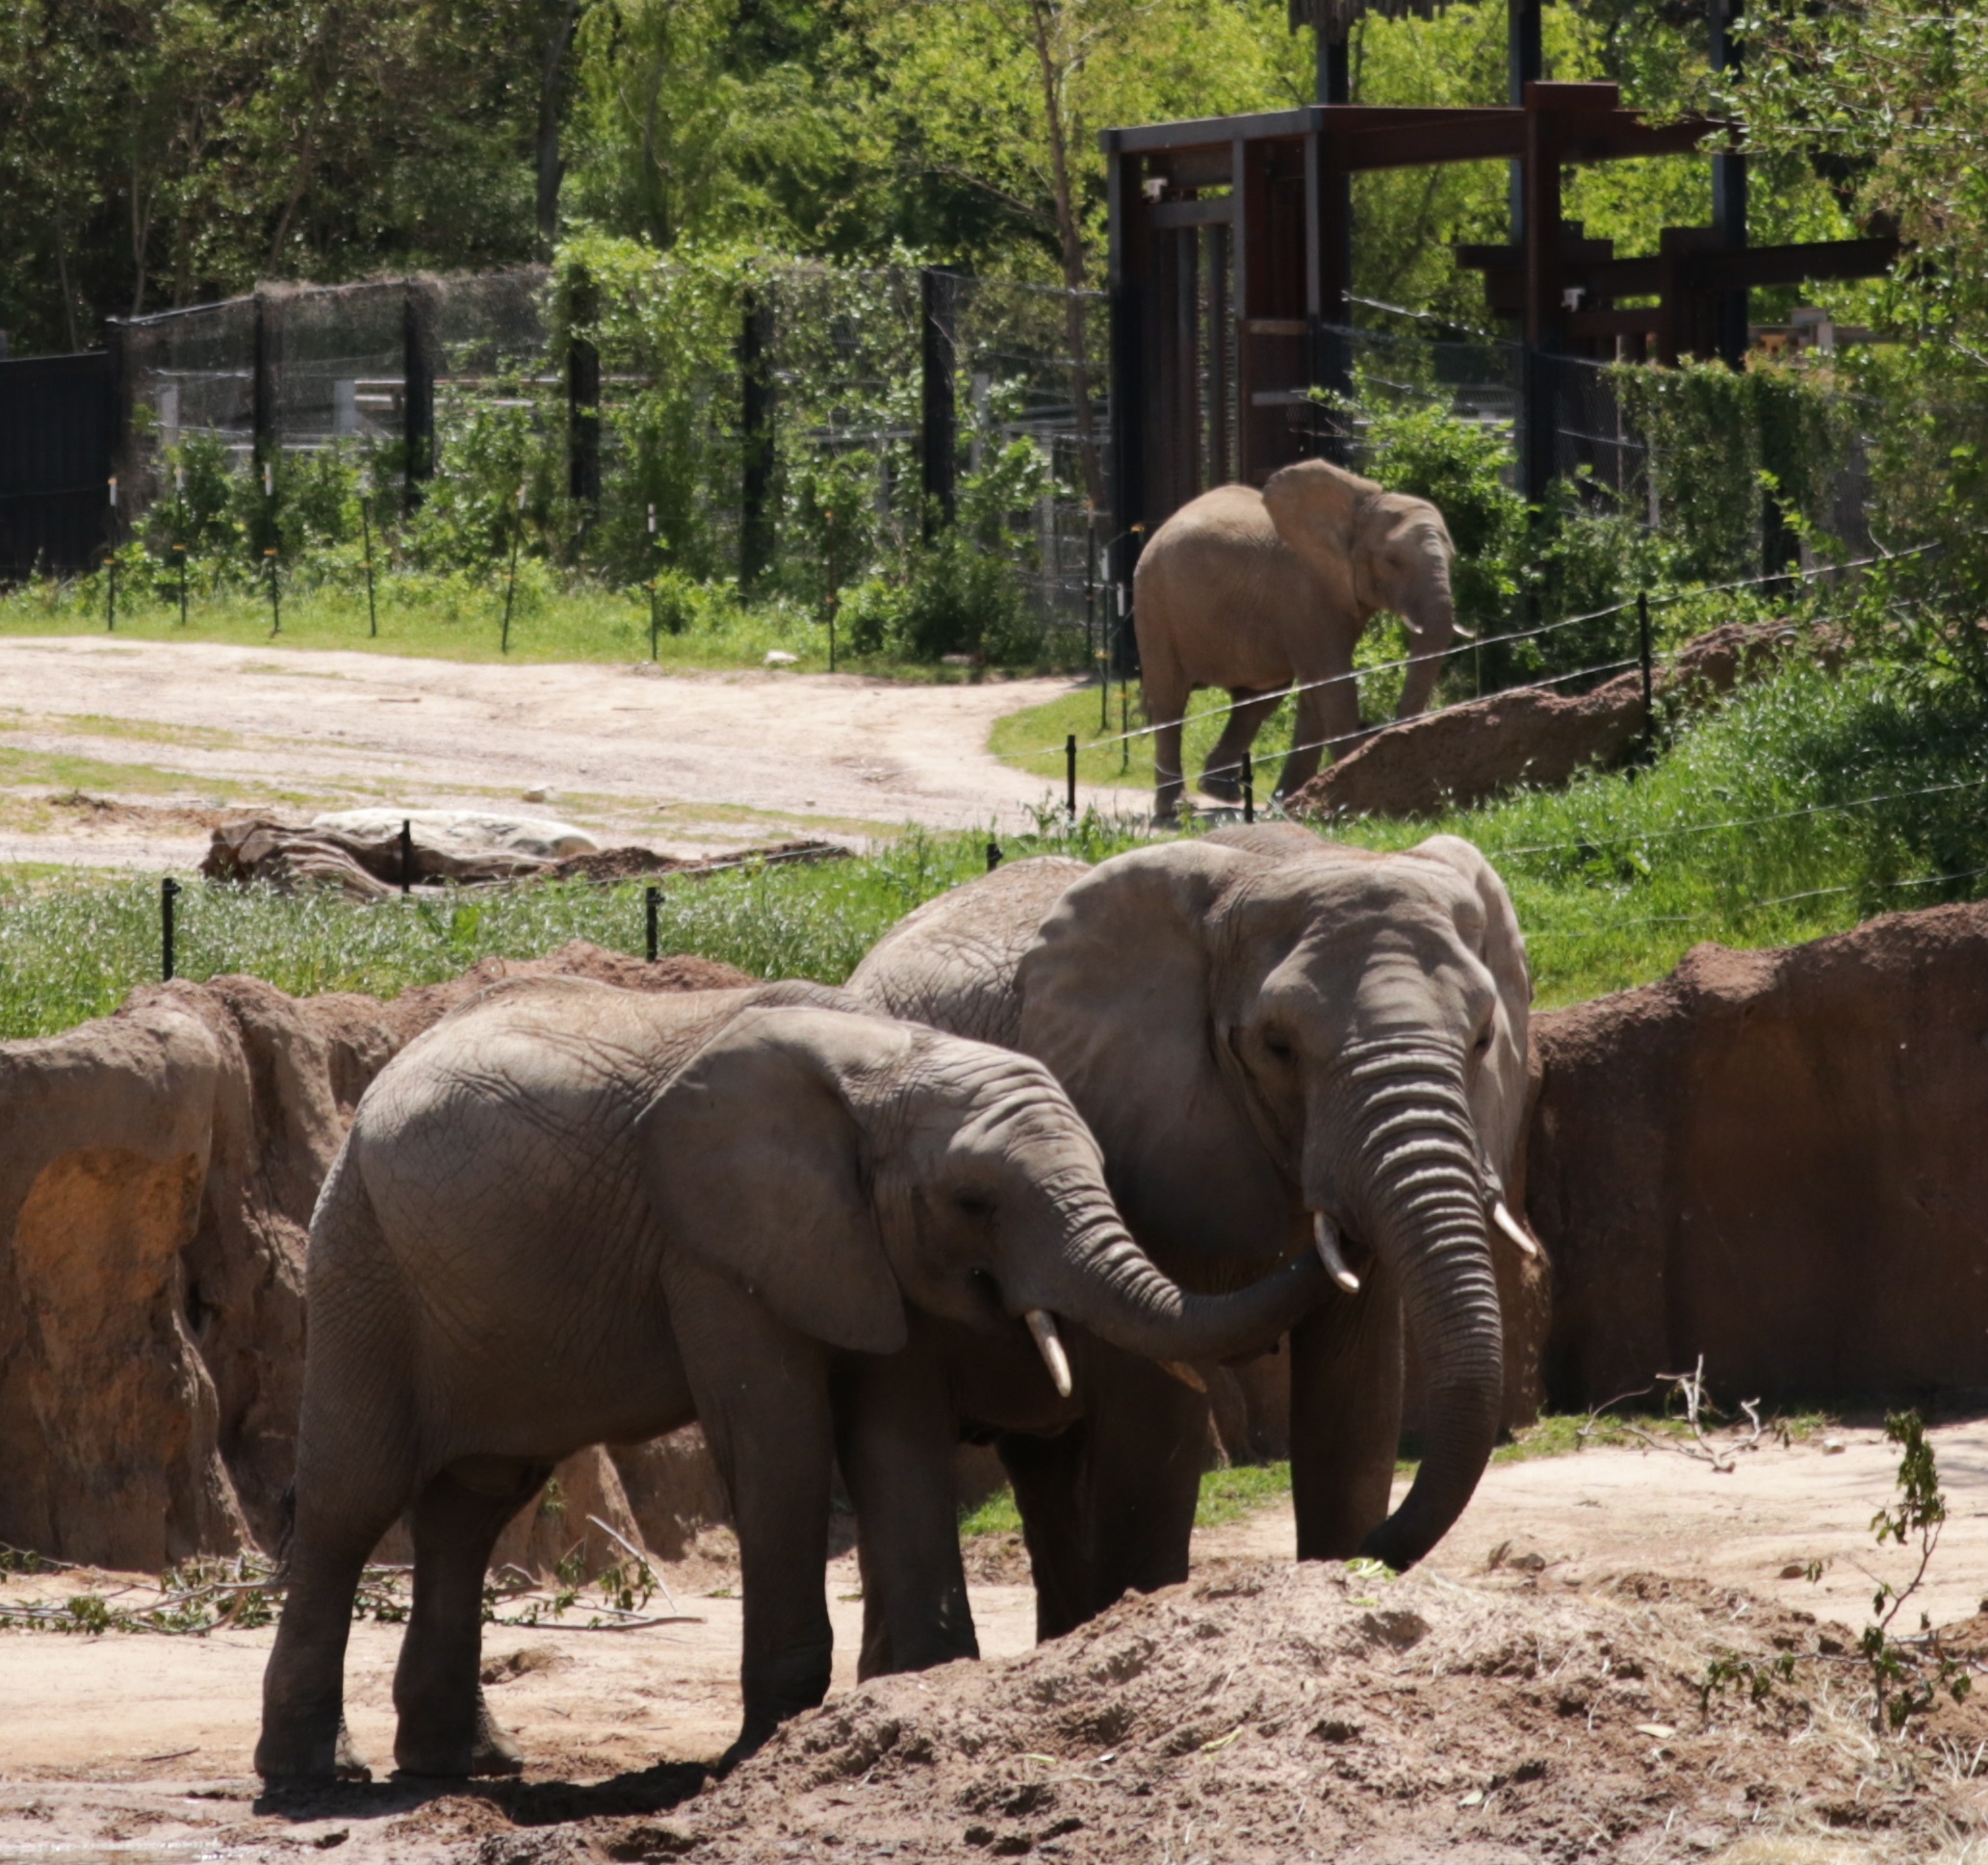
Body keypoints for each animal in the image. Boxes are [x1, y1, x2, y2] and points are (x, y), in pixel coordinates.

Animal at [260, 973, 1320, 1774]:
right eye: (973, 1201)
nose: (1333, 1242)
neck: (887, 1062)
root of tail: (377, 1080)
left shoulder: (856, 1244)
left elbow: (882, 1430)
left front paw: (910, 1690)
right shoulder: (712, 1242)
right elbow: (777, 1437)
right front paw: (768, 1742)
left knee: (472, 1501)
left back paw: (468, 1763)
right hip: (362, 1254)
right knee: (352, 1498)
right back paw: (316, 1773)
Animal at [846, 822, 1526, 1638]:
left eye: (1482, 1037)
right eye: (1276, 1045)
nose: (1373, 1550)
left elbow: (1355, 1397)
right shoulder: (1133, 1124)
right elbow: (1155, 1411)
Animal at [1137, 454, 1462, 815]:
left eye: (1452, 559)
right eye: (1393, 561)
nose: (1380, 729)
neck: (1355, 513)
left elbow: (1315, 692)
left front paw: (1290, 802)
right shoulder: (1304, 590)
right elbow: (1333, 683)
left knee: (1257, 701)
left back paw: (1222, 792)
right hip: (1155, 604)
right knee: (1170, 701)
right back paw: (1175, 811)